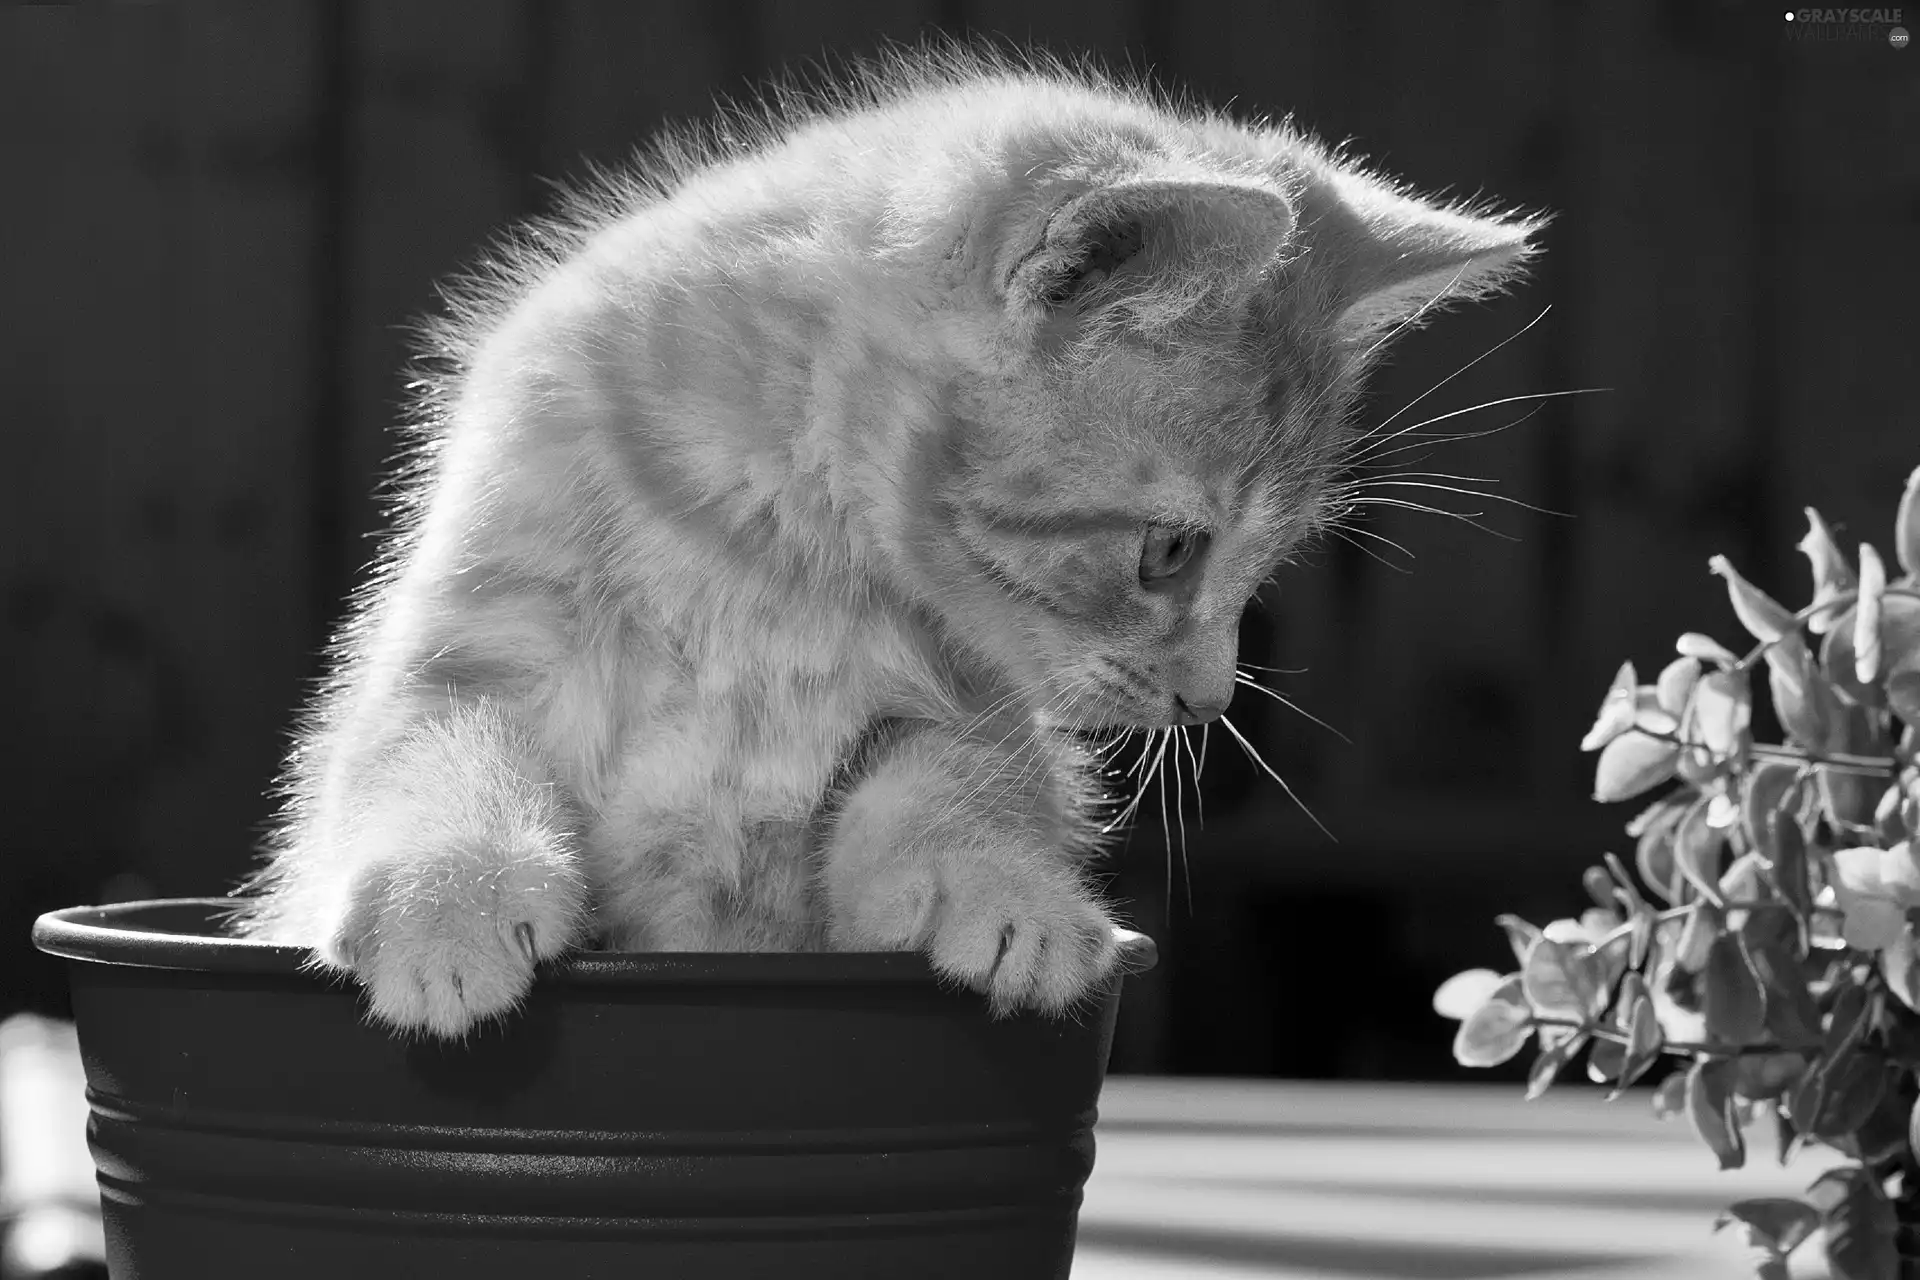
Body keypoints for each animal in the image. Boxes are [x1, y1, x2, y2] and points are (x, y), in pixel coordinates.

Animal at [228, 47, 1543, 1043]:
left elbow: (952, 792)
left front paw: (1013, 894)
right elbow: (429, 755)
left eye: (1265, 565)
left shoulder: (966, 714)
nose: (1209, 697)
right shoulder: (467, 643)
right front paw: (449, 897)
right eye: (1171, 550)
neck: (776, 558)